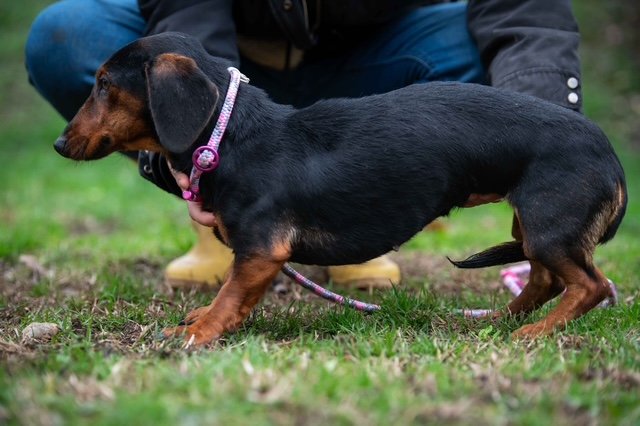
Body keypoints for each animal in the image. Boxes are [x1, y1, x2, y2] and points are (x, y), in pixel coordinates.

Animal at [54, 33, 627, 346]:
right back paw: (500, 321)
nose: (60, 144)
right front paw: (197, 321)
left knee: (590, 285)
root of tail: (610, 156)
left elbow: (230, 295)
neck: (231, 134)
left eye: (104, 84)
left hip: (548, 223)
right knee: (547, 280)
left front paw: (196, 332)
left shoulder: (260, 251)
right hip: (533, 224)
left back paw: (535, 332)